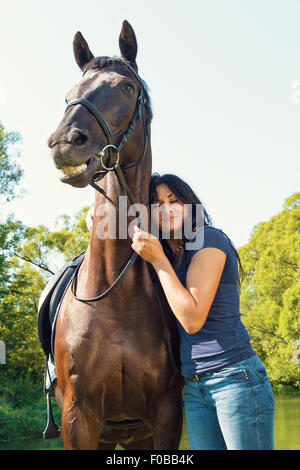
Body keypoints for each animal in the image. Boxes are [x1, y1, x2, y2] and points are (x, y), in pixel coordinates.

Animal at [46, 20, 183, 450]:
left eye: (126, 87)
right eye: (69, 94)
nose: (64, 143)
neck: (114, 295)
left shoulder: (167, 416)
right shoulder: (78, 419)